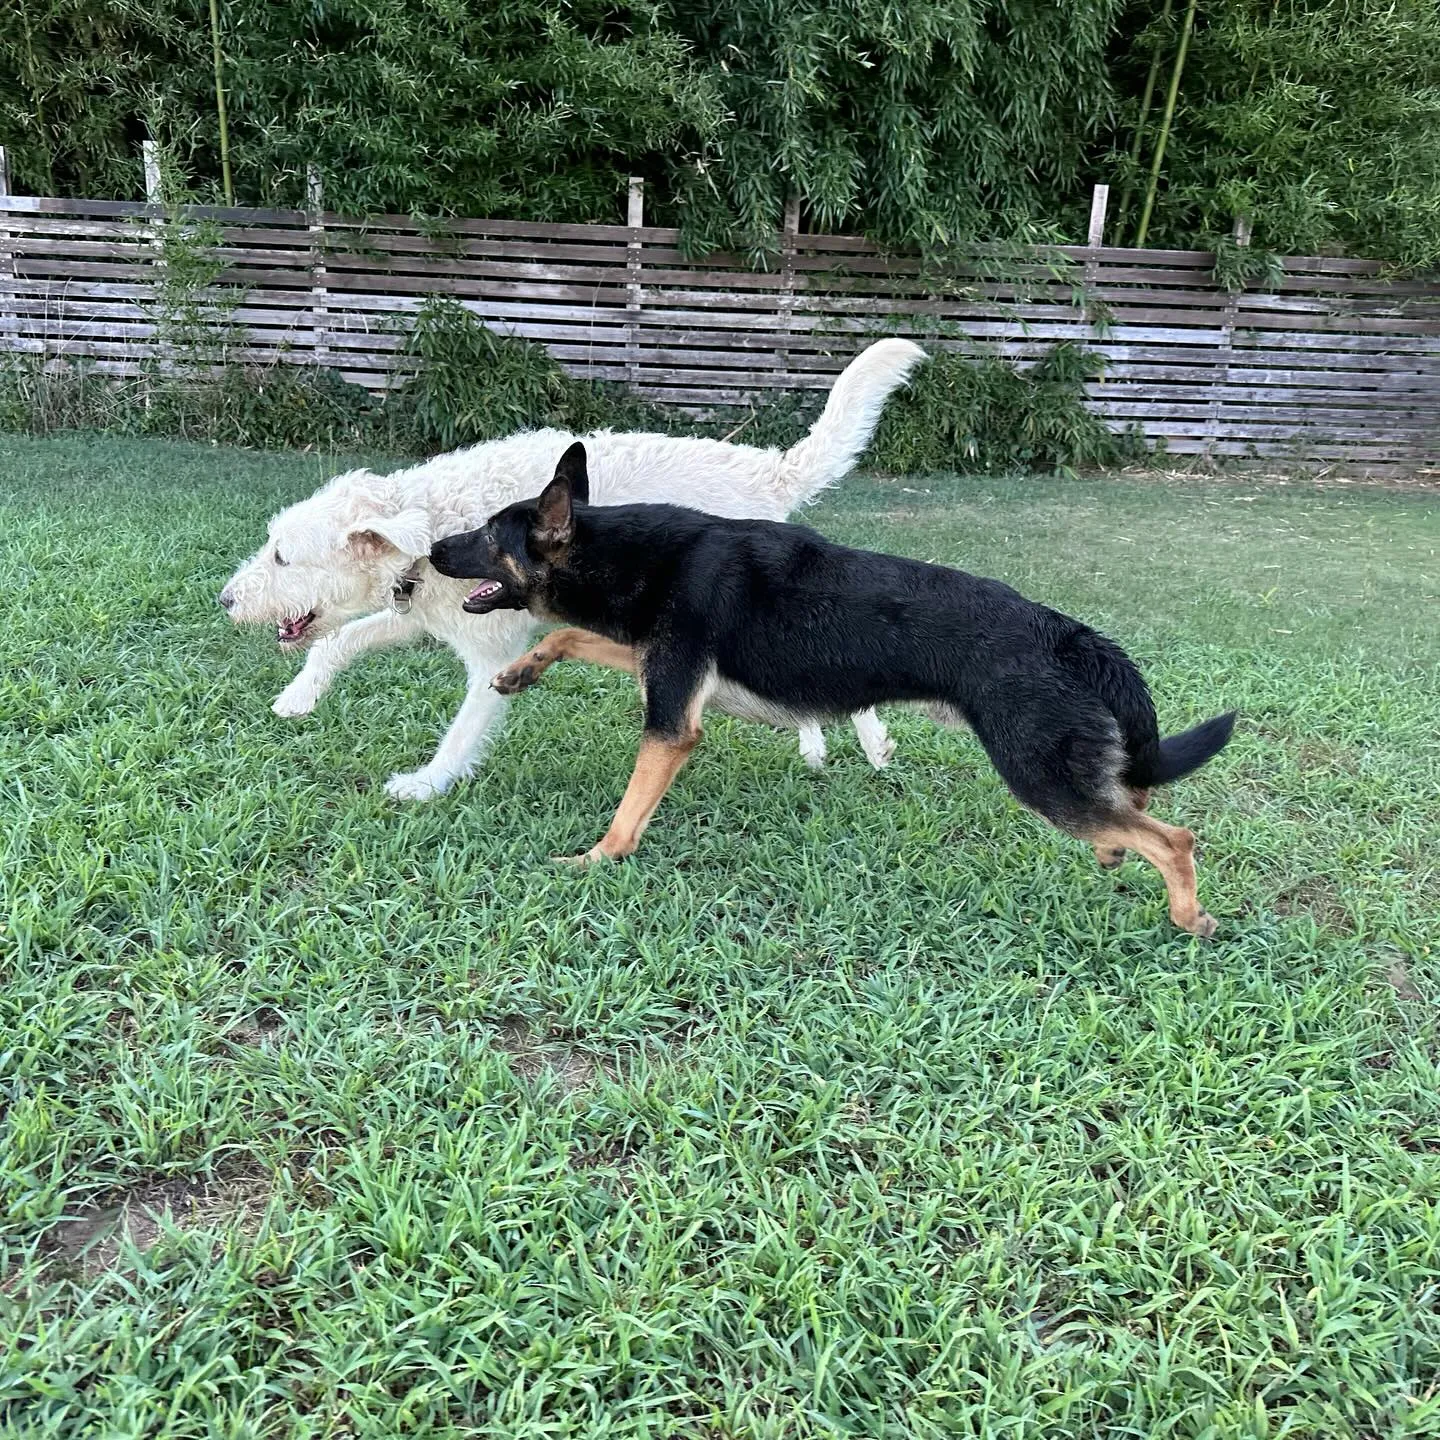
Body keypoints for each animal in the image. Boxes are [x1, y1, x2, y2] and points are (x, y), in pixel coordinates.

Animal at [218, 342, 927, 806]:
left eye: (282, 557)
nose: (225, 600)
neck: (431, 526)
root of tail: (770, 471)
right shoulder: (418, 616)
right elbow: (340, 640)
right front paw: (299, 697)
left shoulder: (489, 657)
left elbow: (462, 732)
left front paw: (425, 785)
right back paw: (815, 744)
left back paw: (868, 744)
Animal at [429, 437, 1238, 933]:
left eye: (485, 536)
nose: (432, 550)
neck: (625, 551)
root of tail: (1063, 630)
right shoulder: (663, 666)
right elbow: (570, 636)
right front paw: (518, 671)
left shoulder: (672, 720)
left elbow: (628, 815)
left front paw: (596, 860)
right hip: (1070, 768)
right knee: (1134, 801)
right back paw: (1116, 857)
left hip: (1041, 776)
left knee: (1173, 837)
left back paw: (1185, 913)